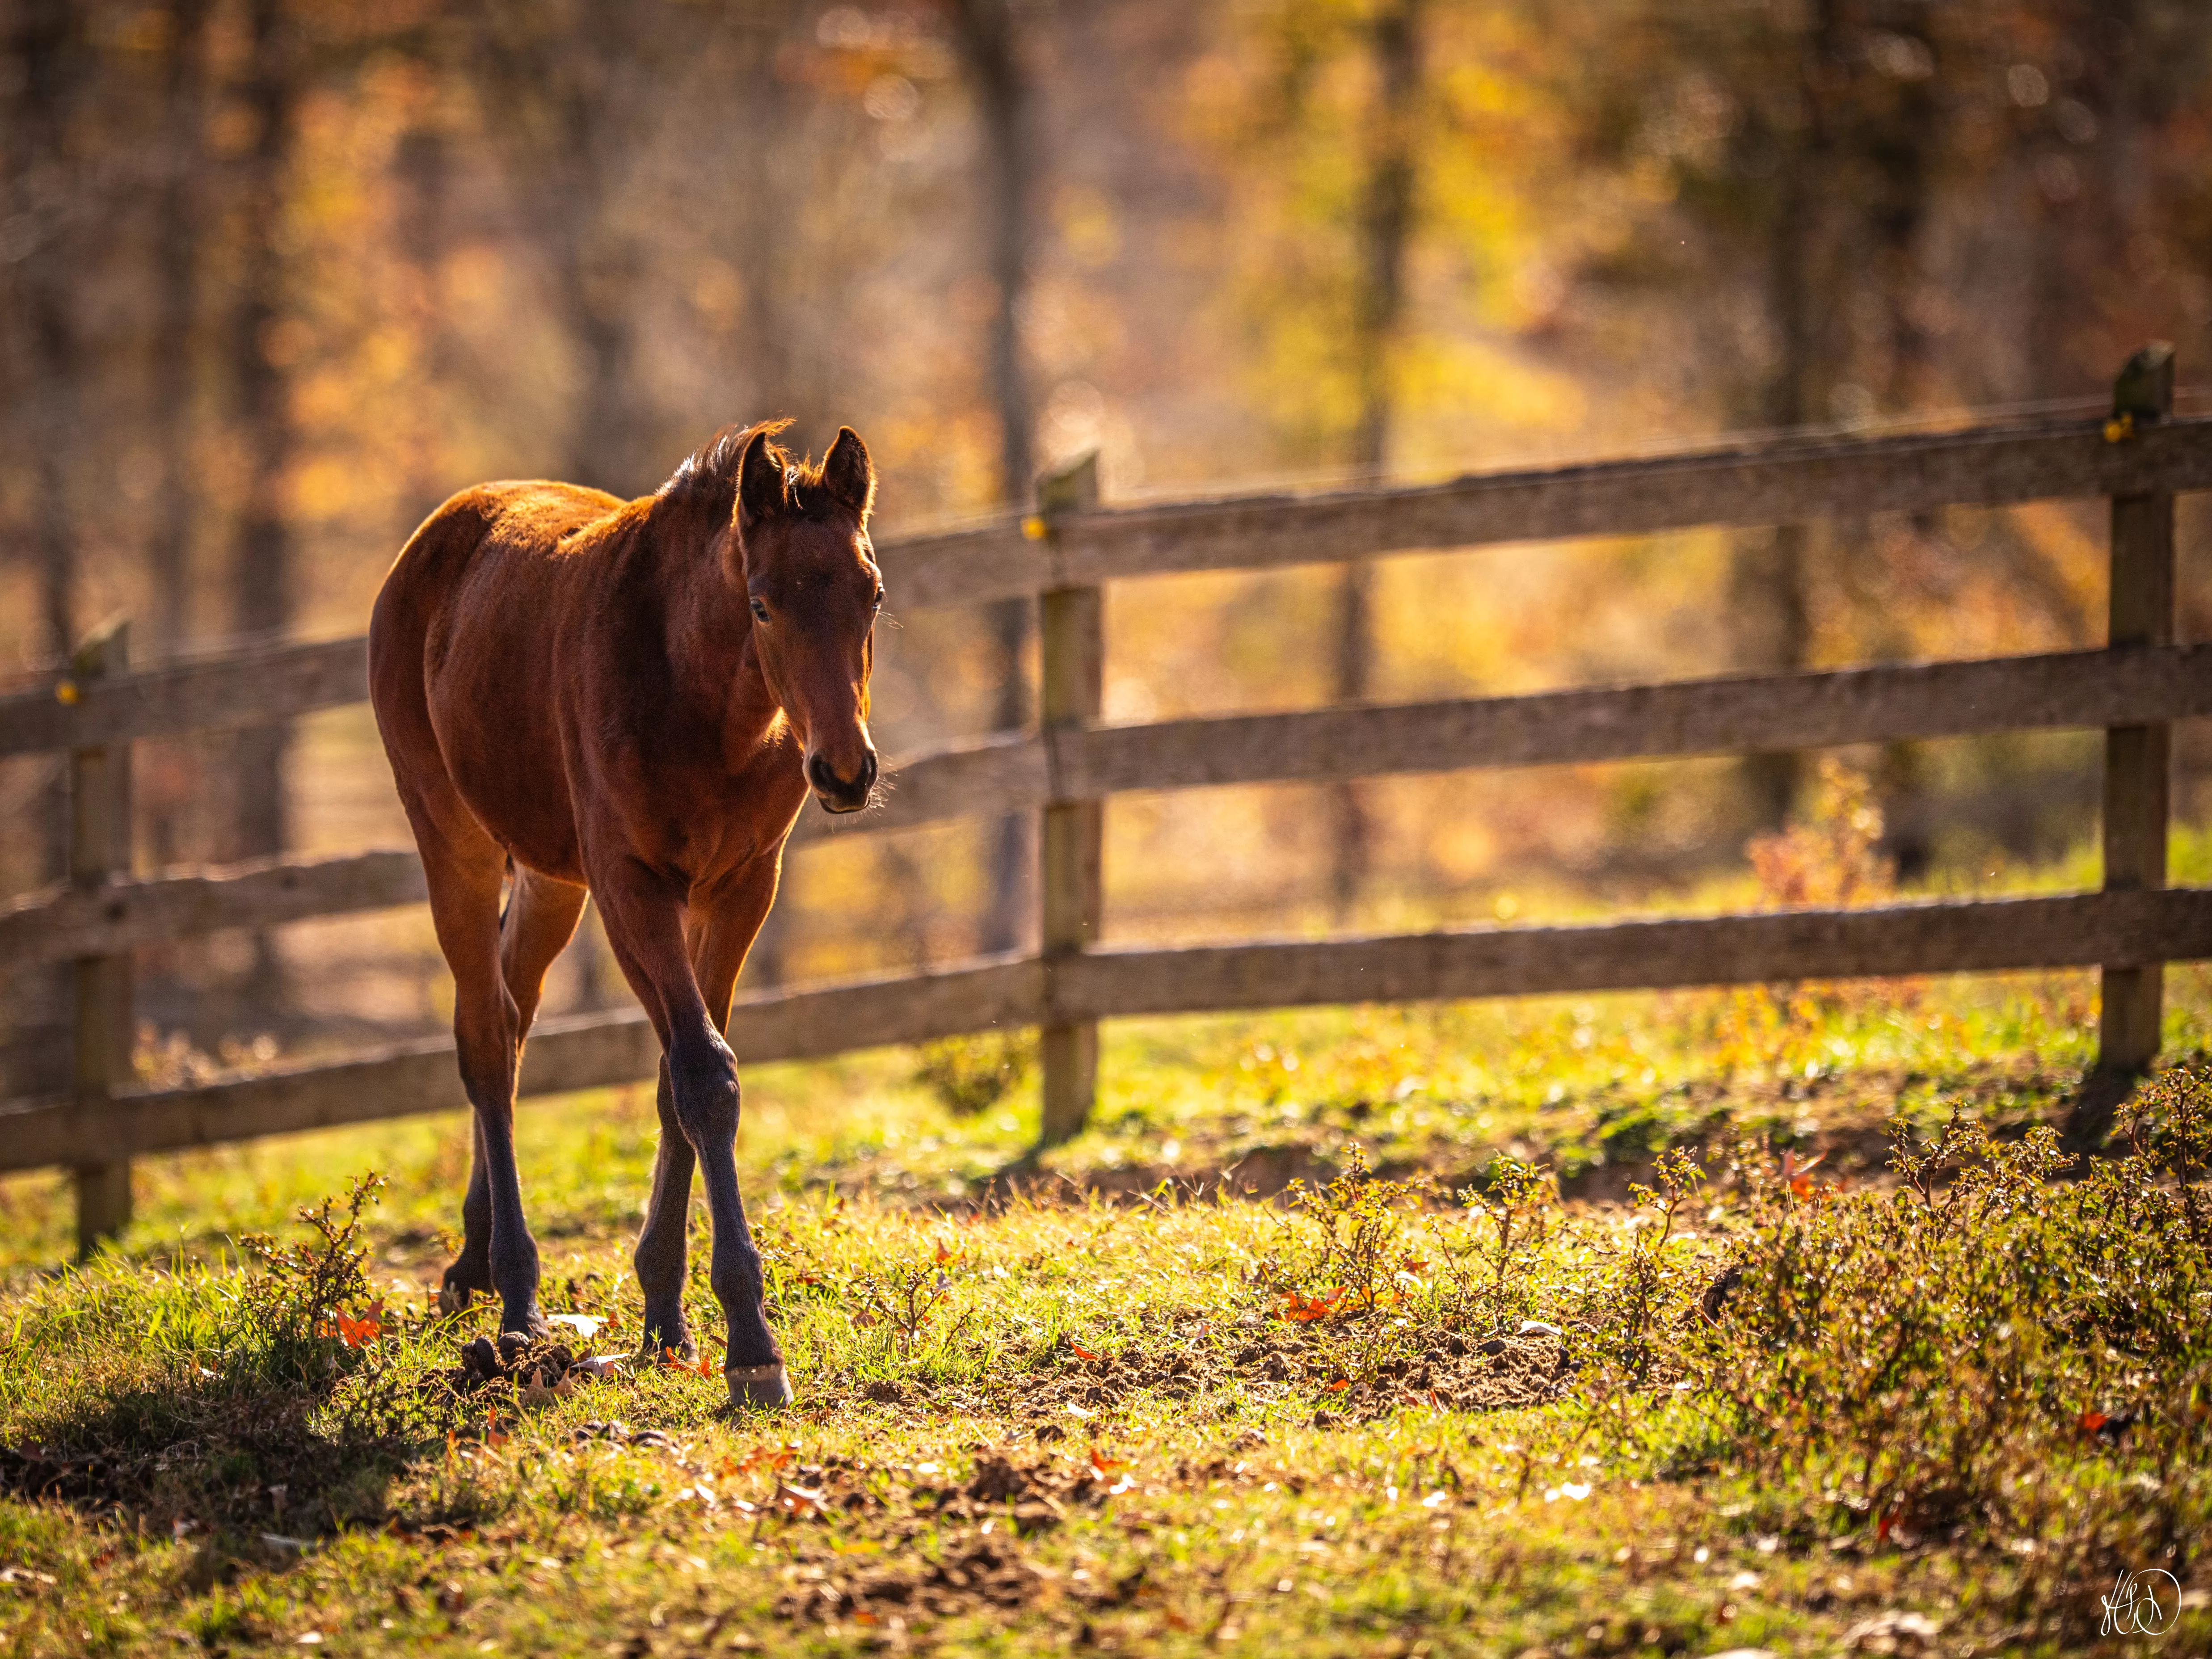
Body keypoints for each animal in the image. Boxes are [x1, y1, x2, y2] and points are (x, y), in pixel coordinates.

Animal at [368, 421, 882, 1409]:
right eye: (762, 605)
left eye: (872, 594)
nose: (844, 771)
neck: (704, 706)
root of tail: (446, 525)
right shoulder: (632, 888)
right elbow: (702, 1075)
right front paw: (751, 1343)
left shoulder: (739, 888)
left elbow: (680, 1080)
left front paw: (668, 1315)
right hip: (453, 837)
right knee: (484, 1039)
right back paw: (517, 1300)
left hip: (548, 876)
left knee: (511, 1018)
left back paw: (470, 1266)